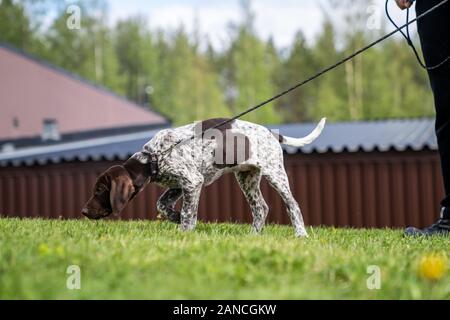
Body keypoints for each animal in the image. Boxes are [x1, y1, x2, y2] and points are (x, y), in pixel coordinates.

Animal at [81, 118, 326, 238]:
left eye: (100, 191)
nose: (83, 211)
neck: (154, 157)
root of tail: (272, 133)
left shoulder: (192, 182)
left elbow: (189, 213)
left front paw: (184, 232)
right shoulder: (180, 184)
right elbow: (162, 204)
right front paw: (175, 217)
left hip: (275, 173)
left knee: (292, 205)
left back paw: (301, 234)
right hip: (246, 177)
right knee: (261, 208)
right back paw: (253, 237)